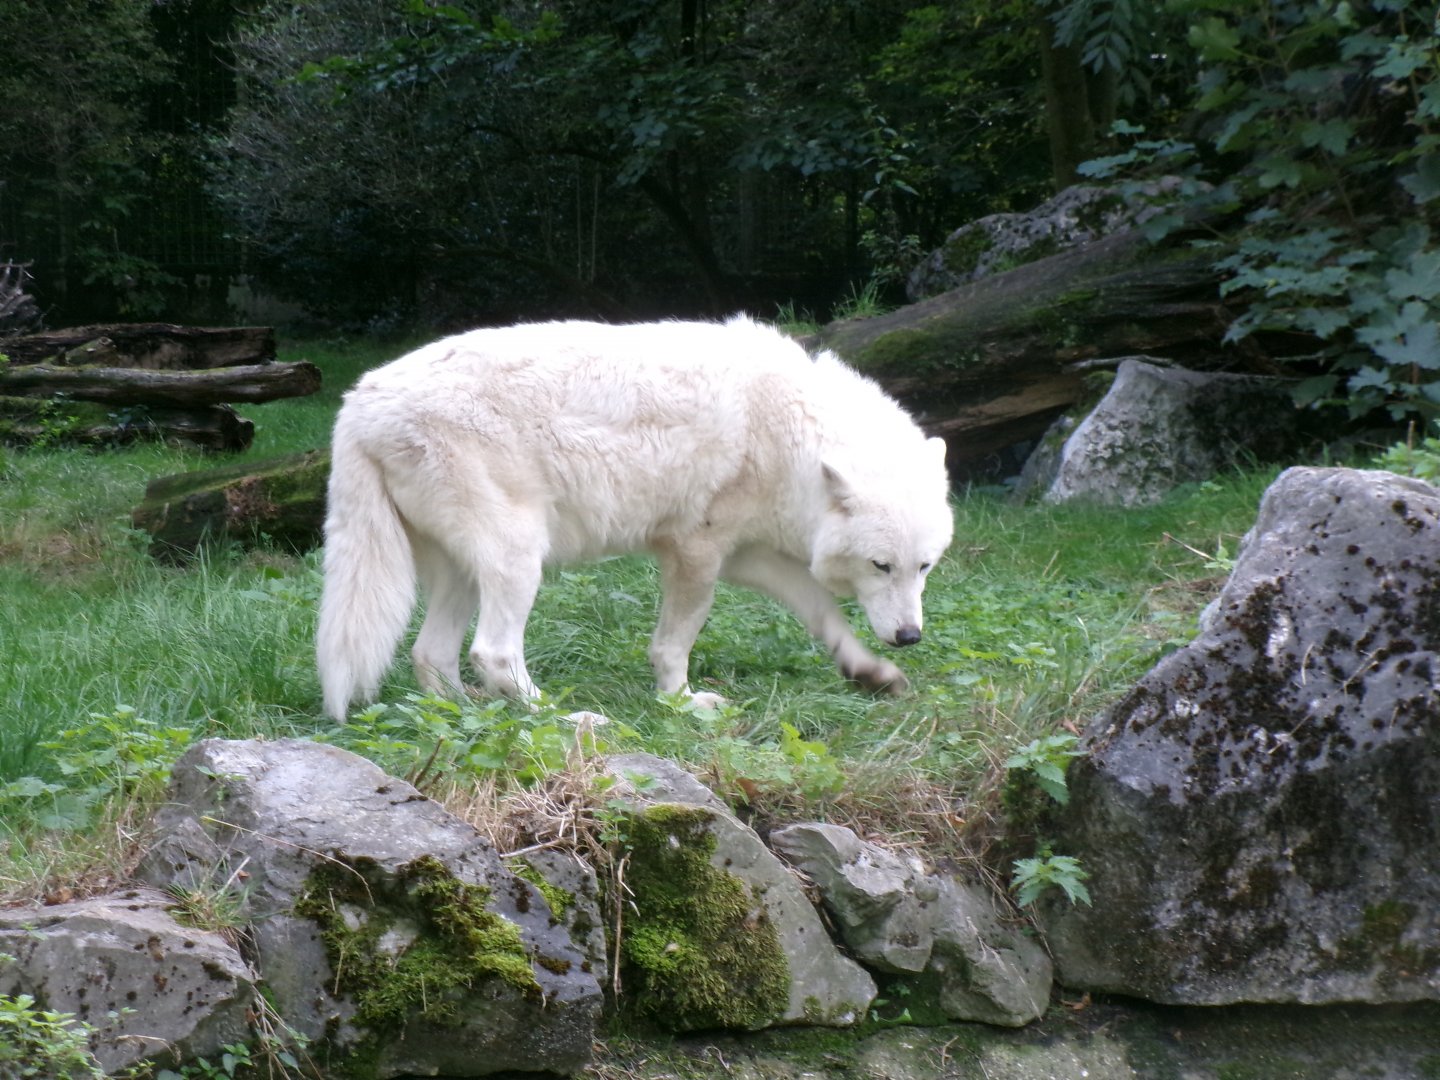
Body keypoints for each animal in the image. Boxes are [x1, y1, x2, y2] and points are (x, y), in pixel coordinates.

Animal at [316, 316, 953, 721]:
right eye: (880, 566)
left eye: (923, 568)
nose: (910, 637)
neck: (786, 429)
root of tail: (356, 401)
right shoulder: (697, 552)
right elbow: (674, 645)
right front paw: (680, 704)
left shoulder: (746, 556)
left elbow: (822, 613)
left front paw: (870, 673)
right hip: (519, 558)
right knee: (491, 652)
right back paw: (566, 718)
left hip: (465, 573)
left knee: (433, 654)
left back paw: (468, 714)